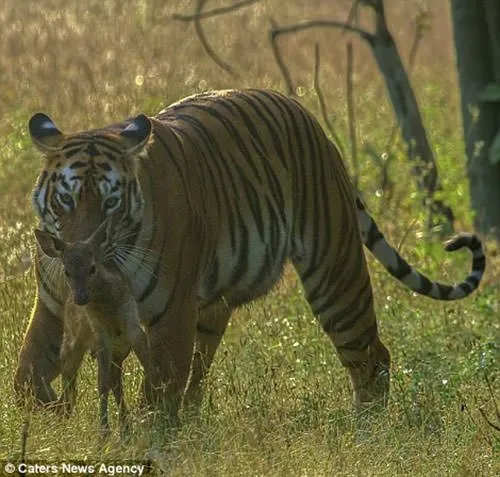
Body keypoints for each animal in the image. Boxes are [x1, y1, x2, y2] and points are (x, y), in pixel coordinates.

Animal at [13, 88, 486, 416]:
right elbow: (27, 375)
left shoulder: (171, 315)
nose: (79, 257)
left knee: (372, 357)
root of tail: (310, 120)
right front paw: (41, 422)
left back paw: (367, 434)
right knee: (199, 376)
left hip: (334, 273)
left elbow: (158, 392)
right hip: (214, 305)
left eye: (110, 203)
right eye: (66, 200)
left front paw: (149, 441)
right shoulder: (53, 307)